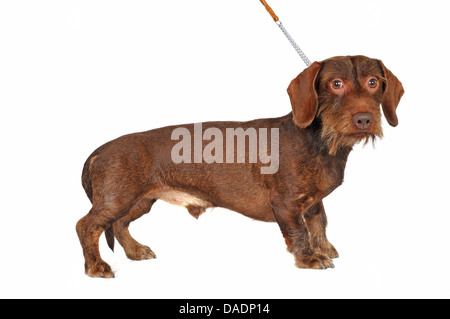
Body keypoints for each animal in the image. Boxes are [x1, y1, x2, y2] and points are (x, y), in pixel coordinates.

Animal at [76, 56, 404, 278]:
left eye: (374, 82)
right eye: (336, 84)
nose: (364, 119)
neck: (322, 141)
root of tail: (101, 150)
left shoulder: (312, 202)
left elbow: (319, 223)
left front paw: (322, 248)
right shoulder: (286, 204)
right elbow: (299, 232)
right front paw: (309, 259)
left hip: (140, 201)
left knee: (119, 224)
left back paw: (135, 251)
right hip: (117, 199)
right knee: (87, 226)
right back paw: (96, 266)